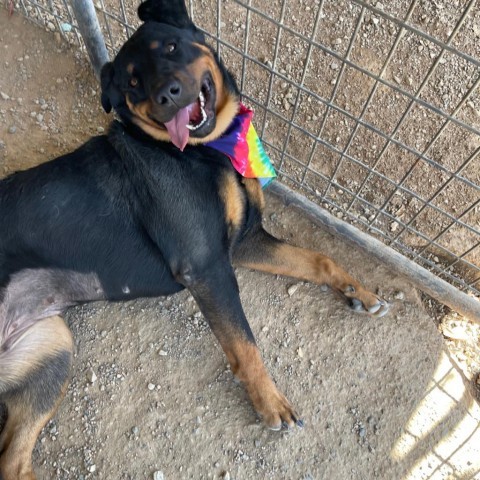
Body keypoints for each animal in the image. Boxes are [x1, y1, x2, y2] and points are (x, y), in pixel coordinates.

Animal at [0, 1, 388, 478]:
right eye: (131, 82)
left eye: (170, 46)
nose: (166, 95)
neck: (202, 150)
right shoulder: (206, 266)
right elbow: (244, 343)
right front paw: (270, 403)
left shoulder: (243, 242)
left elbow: (319, 259)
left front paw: (359, 291)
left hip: (53, 350)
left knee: (12, 460)